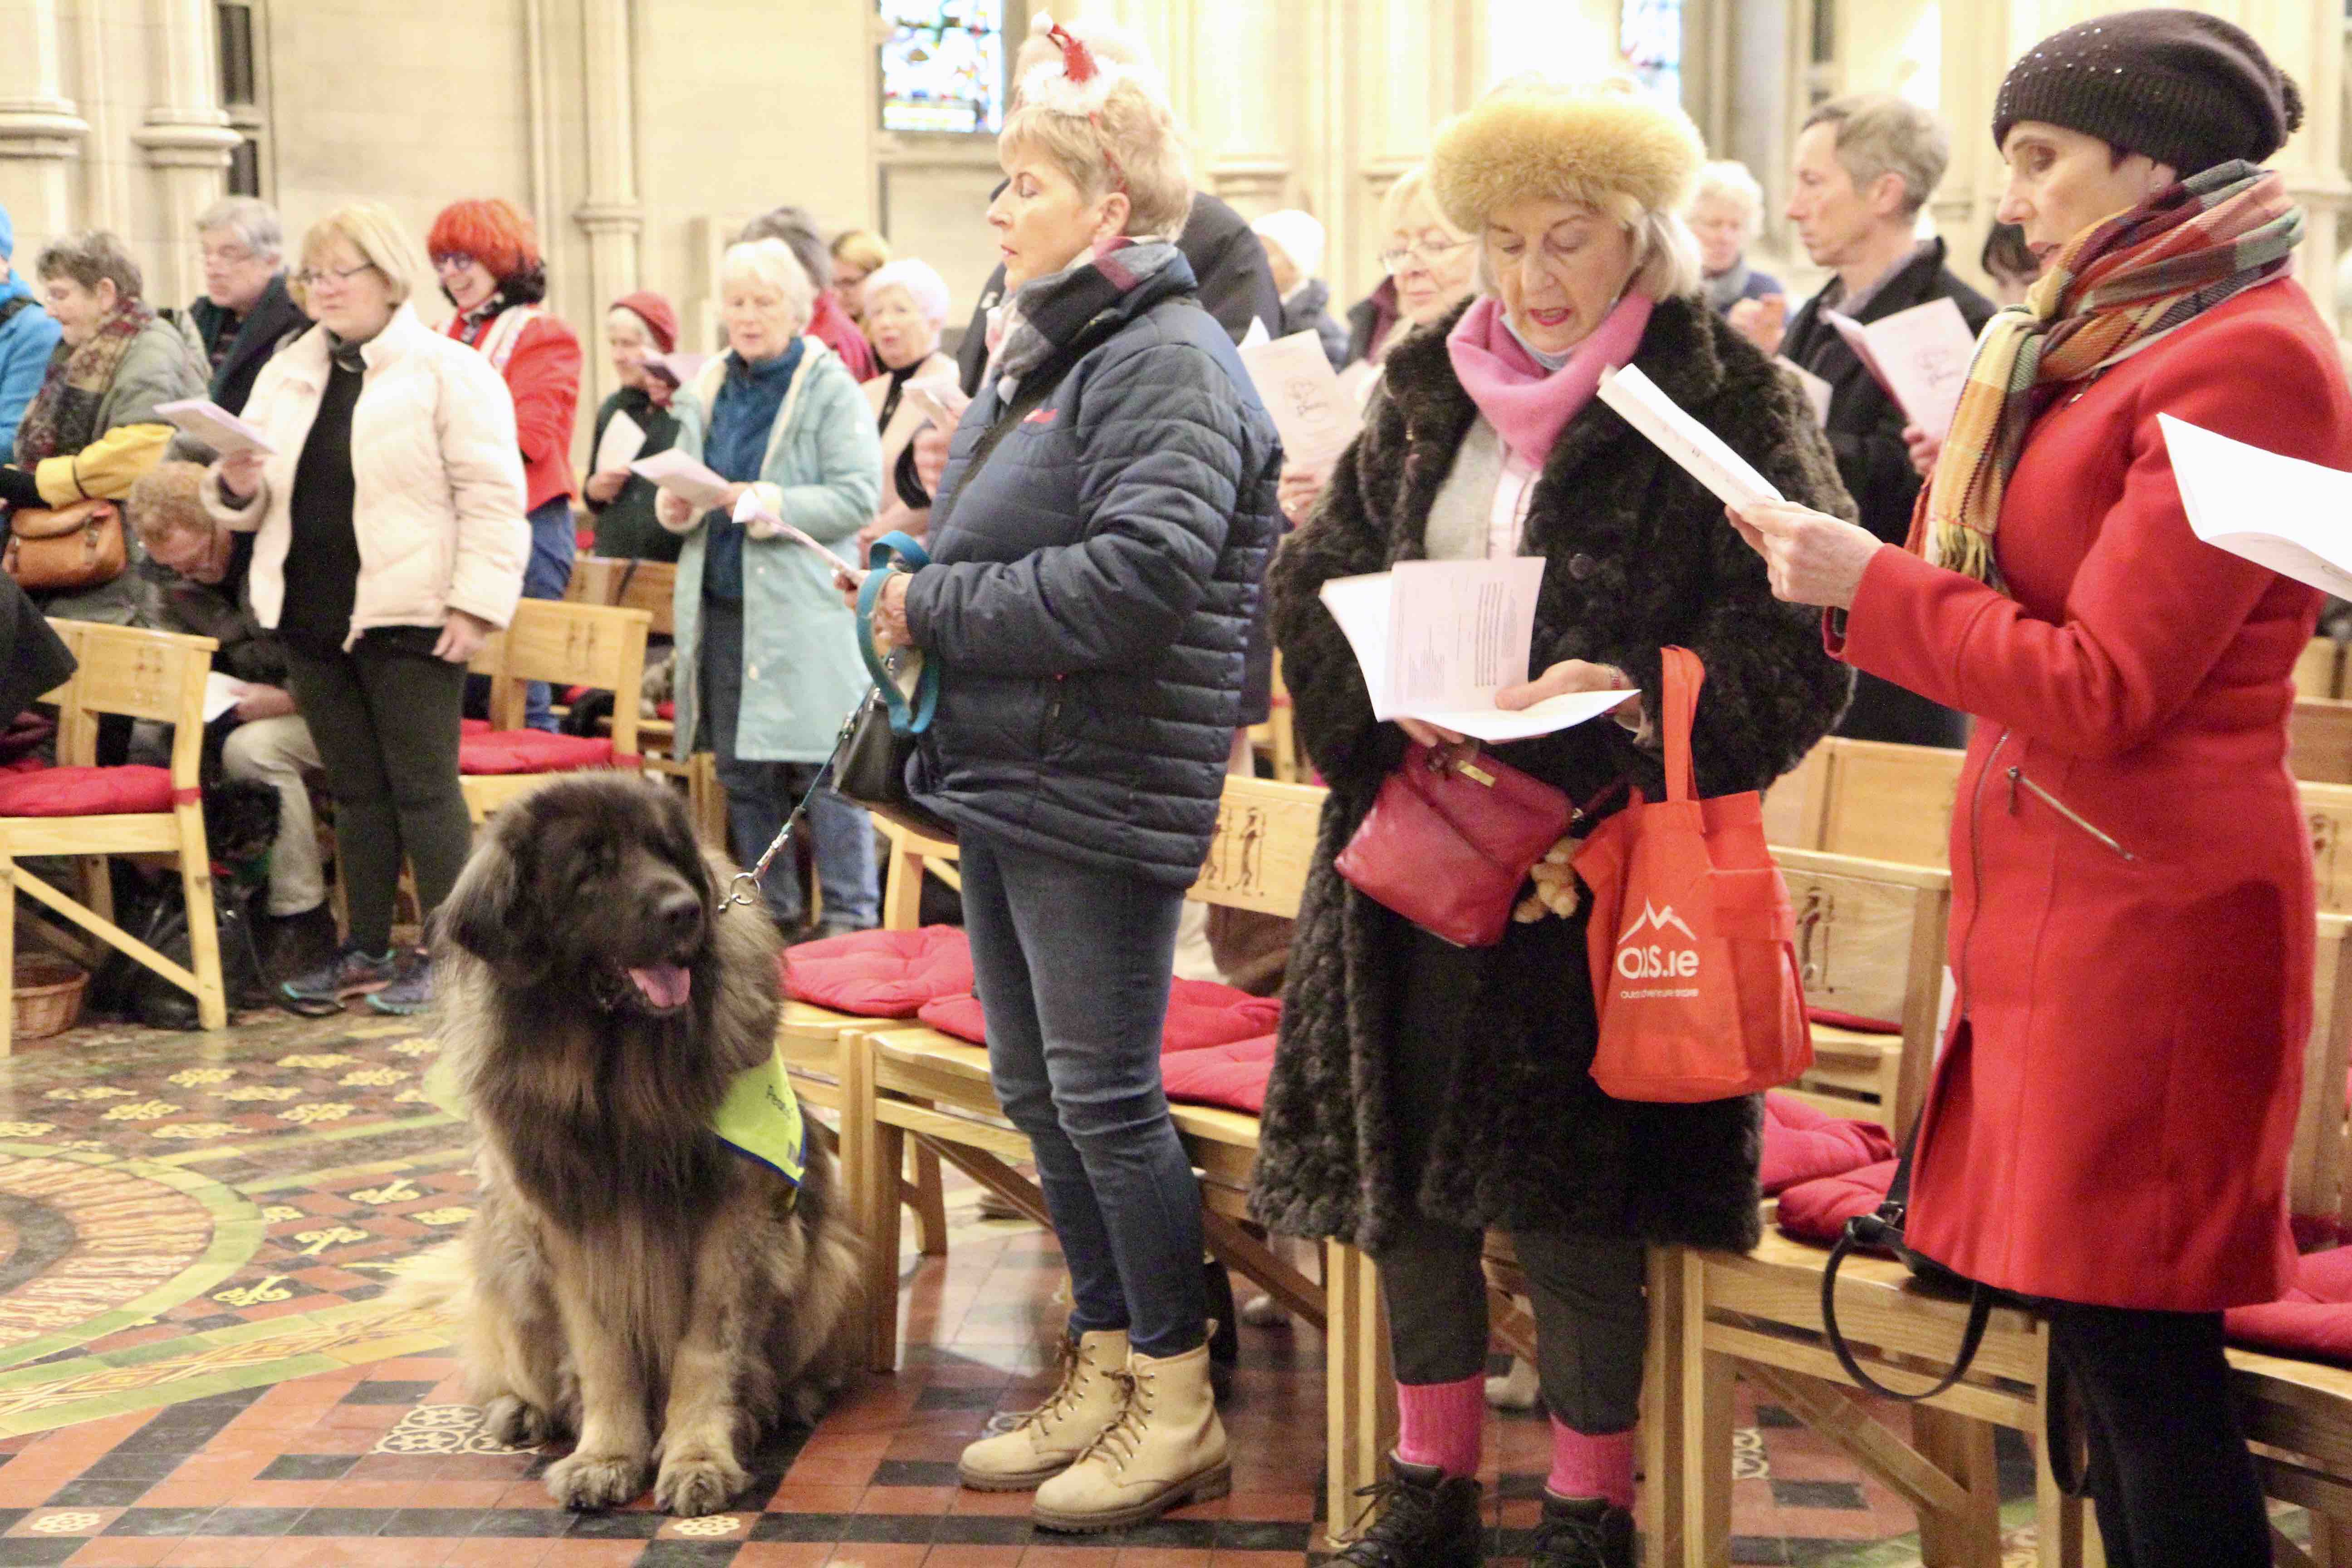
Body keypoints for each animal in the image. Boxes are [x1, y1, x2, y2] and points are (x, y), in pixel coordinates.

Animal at [426, 780, 865, 1514]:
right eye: (590, 870)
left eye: (666, 852)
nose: (685, 909)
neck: (621, 1074)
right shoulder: (571, 1227)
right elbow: (603, 1354)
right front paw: (604, 1457)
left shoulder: (736, 1221)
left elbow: (707, 1350)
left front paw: (698, 1458)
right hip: (509, 1264)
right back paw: (521, 1409)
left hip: (827, 1261)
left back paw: (785, 1401)